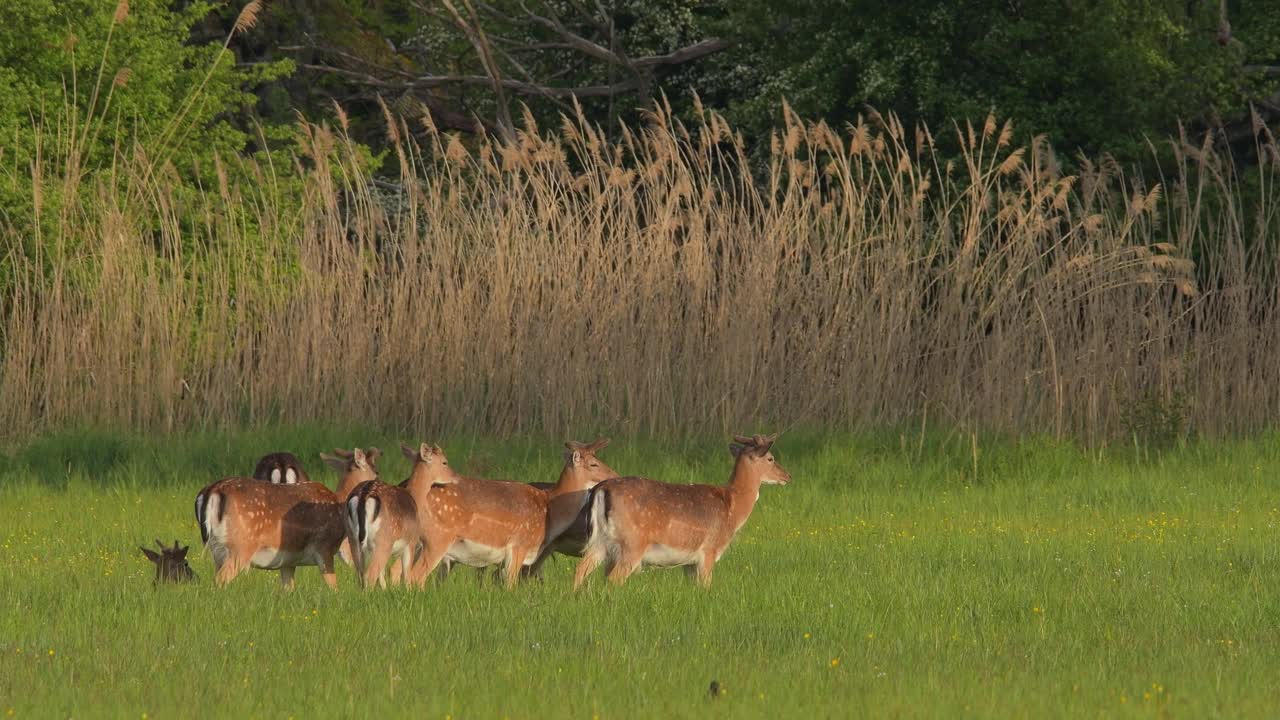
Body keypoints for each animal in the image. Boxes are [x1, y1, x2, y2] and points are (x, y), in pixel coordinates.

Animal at [399, 440, 550, 586]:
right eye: (444, 462)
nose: (456, 476)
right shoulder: (519, 545)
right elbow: (510, 584)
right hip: (437, 537)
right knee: (415, 576)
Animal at [573, 430, 788, 589]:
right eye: (770, 458)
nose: (787, 475)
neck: (732, 508)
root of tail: (601, 489)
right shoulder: (709, 550)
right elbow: (706, 588)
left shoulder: (689, 563)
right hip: (632, 543)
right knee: (613, 580)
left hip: (600, 541)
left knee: (580, 570)